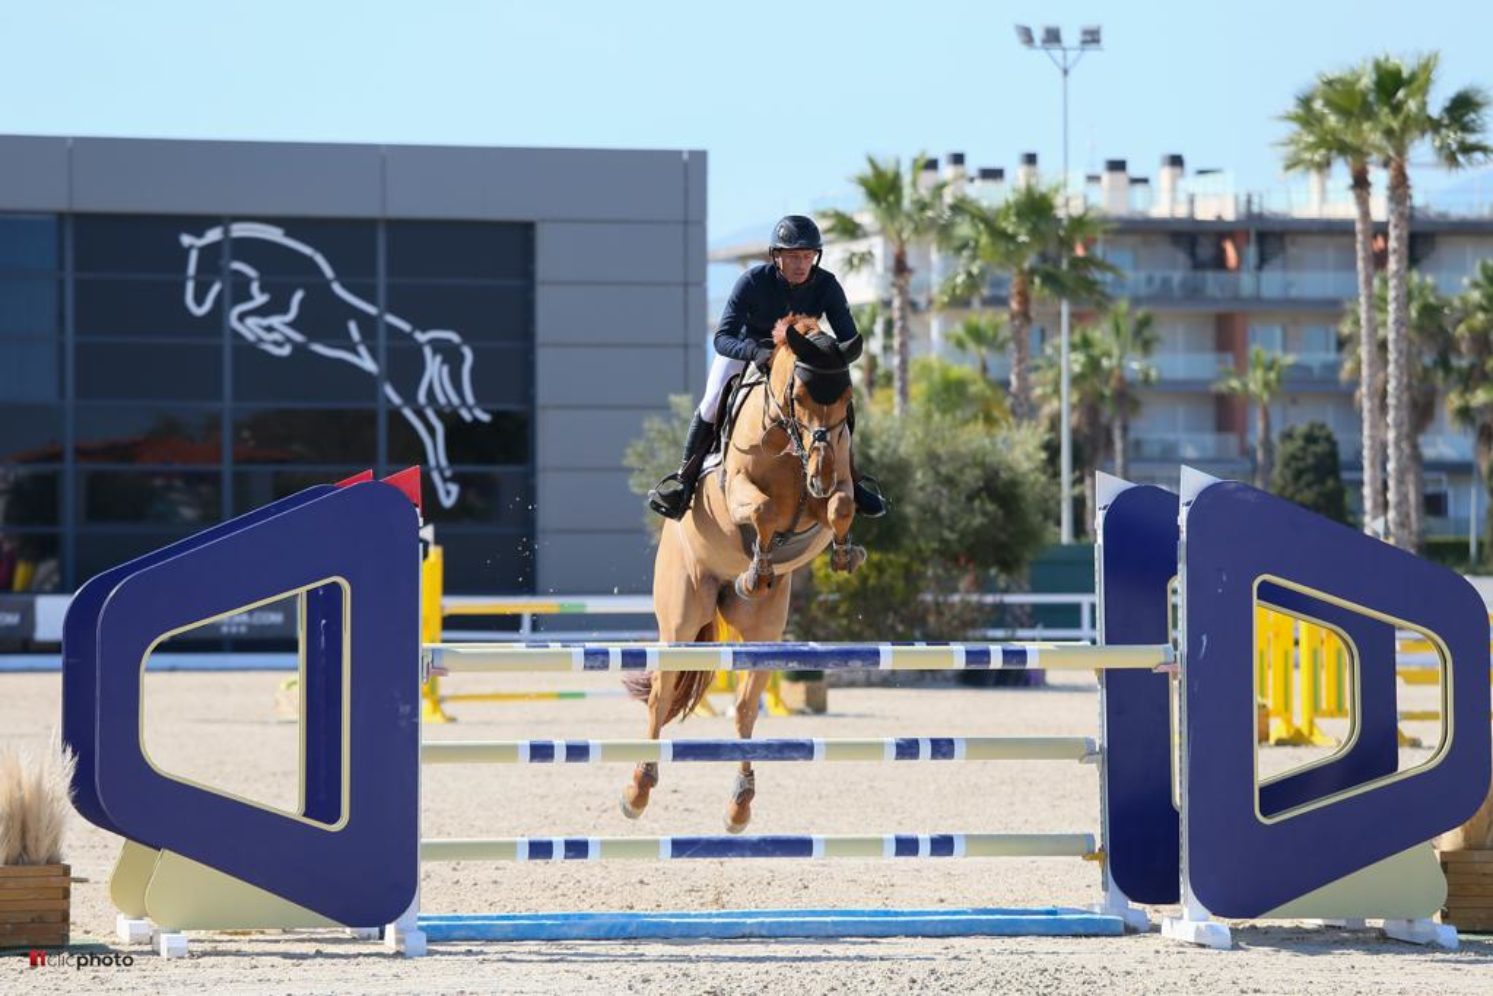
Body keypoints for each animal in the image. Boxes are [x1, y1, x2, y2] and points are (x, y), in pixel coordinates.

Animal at [177, 222, 486, 510]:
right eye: (191, 273)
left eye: (200, 269)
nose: (195, 304)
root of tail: (420, 340)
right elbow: (246, 316)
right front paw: (274, 340)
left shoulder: (283, 308)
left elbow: (247, 316)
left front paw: (275, 341)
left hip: (402, 387)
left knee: (432, 426)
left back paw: (447, 485)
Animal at [621, 318, 871, 836]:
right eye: (799, 394)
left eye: (846, 398)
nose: (817, 477)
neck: (790, 446)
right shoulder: (737, 487)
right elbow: (762, 509)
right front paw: (757, 563)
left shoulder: (835, 486)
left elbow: (841, 506)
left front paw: (843, 555)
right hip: (682, 616)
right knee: (661, 697)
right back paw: (637, 790)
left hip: (762, 630)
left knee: (742, 710)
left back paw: (740, 803)